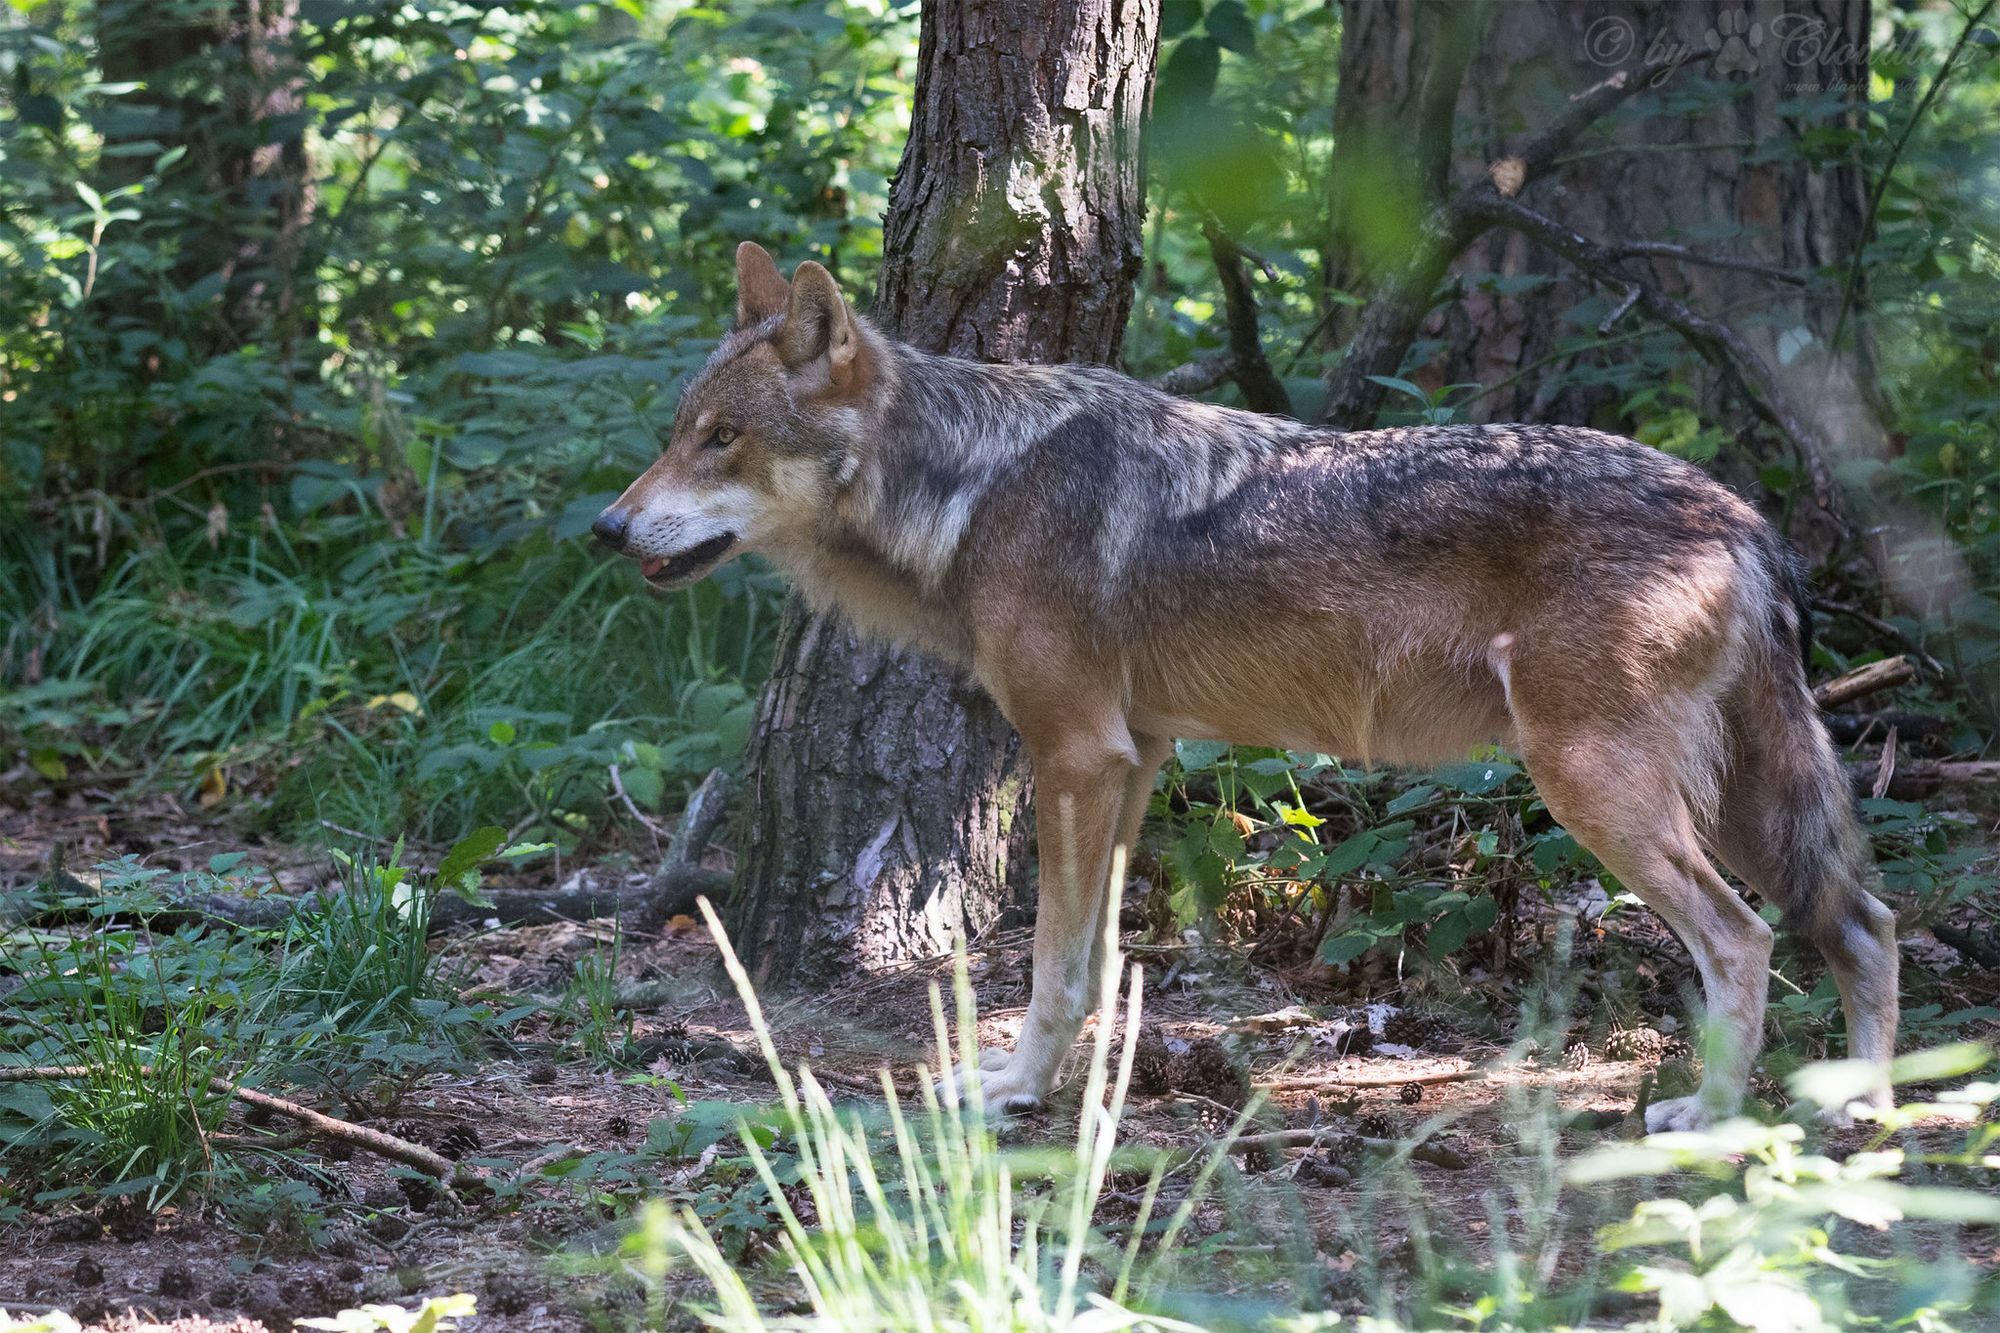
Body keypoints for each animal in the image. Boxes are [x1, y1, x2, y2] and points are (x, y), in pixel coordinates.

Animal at [593, 242, 1900, 1130]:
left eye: (719, 439)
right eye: (675, 431)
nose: (605, 529)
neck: (970, 484)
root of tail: (1739, 515)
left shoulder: (1075, 758)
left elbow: (1050, 962)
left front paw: (1010, 1090)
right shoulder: (1131, 764)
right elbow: (1090, 956)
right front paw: (1059, 1082)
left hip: (1598, 791)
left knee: (1742, 940)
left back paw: (1713, 1117)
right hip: (1728, 799)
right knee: (1864, 923)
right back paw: (1860, 1105)